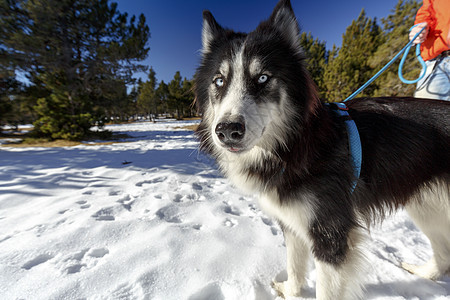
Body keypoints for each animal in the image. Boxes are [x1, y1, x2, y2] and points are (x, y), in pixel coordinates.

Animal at [195, 0, 450, 298]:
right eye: (219, 81)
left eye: (263, 78)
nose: (227, 131)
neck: (295, 146)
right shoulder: (292, 220)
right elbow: (294, 265)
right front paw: (290, 290)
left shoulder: (330, 233)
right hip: (425, 205)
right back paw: (424, 273)